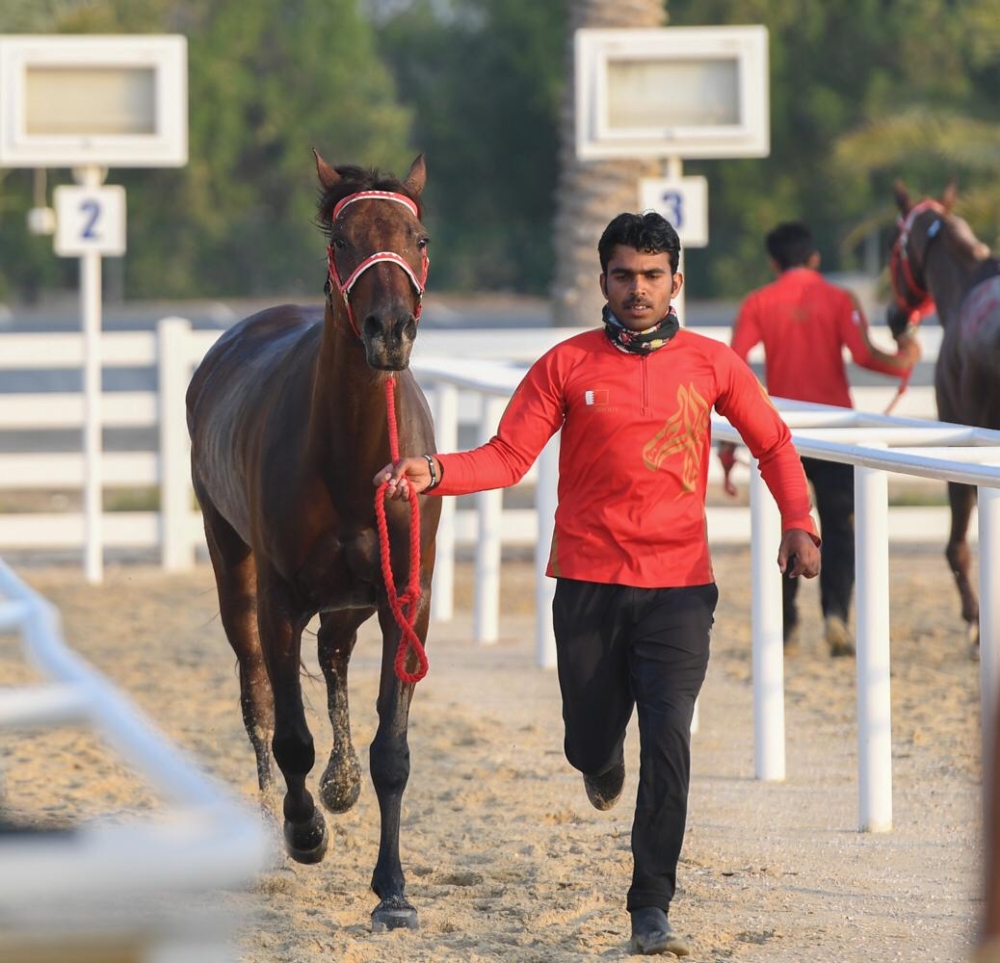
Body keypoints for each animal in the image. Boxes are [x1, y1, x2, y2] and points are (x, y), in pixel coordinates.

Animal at [186, 154, 440, 932]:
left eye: (416, 237)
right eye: (344, 240)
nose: (389, 328)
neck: (350, 454)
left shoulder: (403, 599)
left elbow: (393, 750)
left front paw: (393, 890)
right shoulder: (280, 598)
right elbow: (288, 730)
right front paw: (304, 832)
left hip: (351, 598)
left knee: (332, 658)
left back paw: (340, 780)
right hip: (232, 563)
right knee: (259, 695)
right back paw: (277, 818)